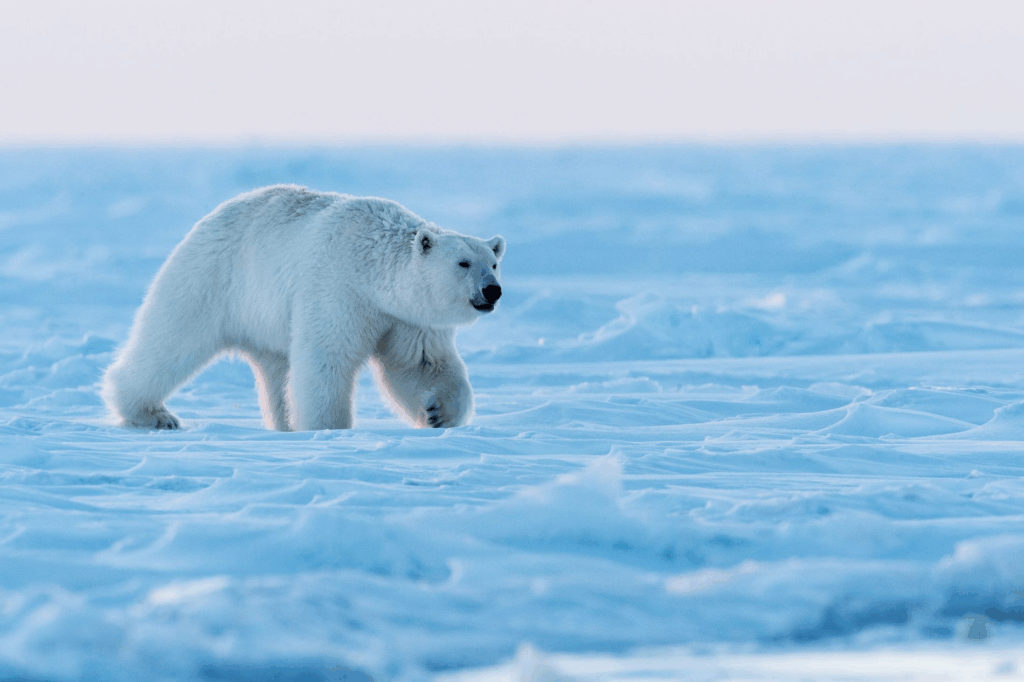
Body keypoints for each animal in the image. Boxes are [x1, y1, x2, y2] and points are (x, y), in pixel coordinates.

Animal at [102, 185, 505, 431]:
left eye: (494, 262)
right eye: (463, 263)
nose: (493, 291)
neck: (370, 266)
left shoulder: (407, 317)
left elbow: (421, 363)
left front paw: (439, 412)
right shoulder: (338, 289)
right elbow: (326, 359)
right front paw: (329, 427)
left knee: (277, 372)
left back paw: (284, 424)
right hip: (212, 279)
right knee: (170, 340)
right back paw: (152, 414)